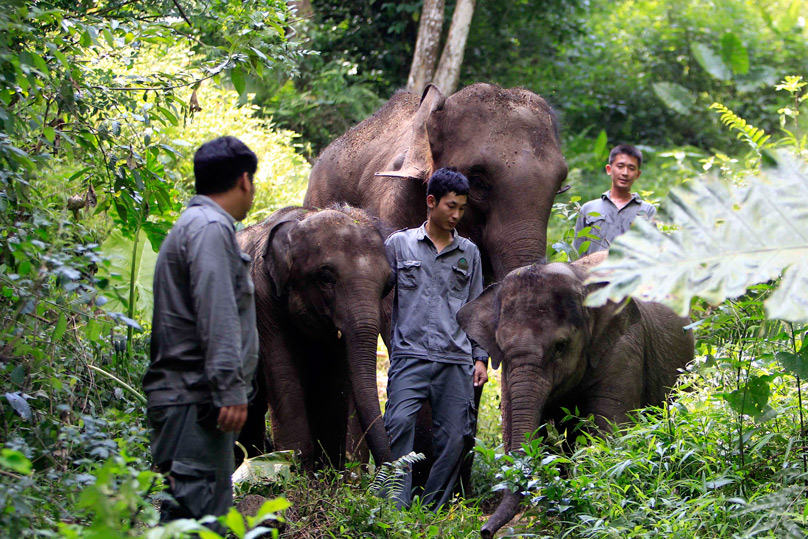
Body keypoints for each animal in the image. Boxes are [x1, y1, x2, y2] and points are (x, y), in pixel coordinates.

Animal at [234, 205, 394, 470]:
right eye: (326, 278)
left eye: (388, 285)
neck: (300, 219)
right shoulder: (263, 298)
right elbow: (284, 373)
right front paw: (295, 468)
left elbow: (339, 381)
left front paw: (336, 473)